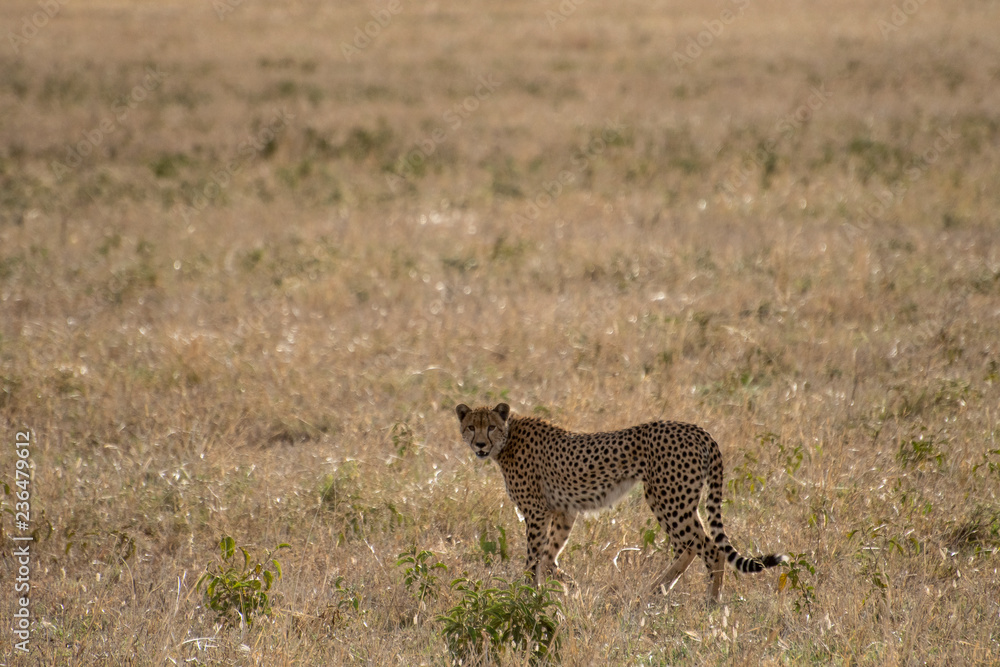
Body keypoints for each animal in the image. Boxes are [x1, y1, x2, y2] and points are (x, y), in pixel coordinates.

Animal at [455, 402, 786, 602]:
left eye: (491, 426)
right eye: (471, 426)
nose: (480, 444)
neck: (508, 437)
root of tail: (698, 429)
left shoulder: (536, 512)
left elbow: (533, 560)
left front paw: (525, 596)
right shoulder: (564, 511)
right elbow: (549, 559)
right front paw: (573, 588)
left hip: (667, 498)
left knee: (707, 547)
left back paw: (710, 602)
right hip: (669, 499)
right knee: (690, 546)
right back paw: (657, 590)